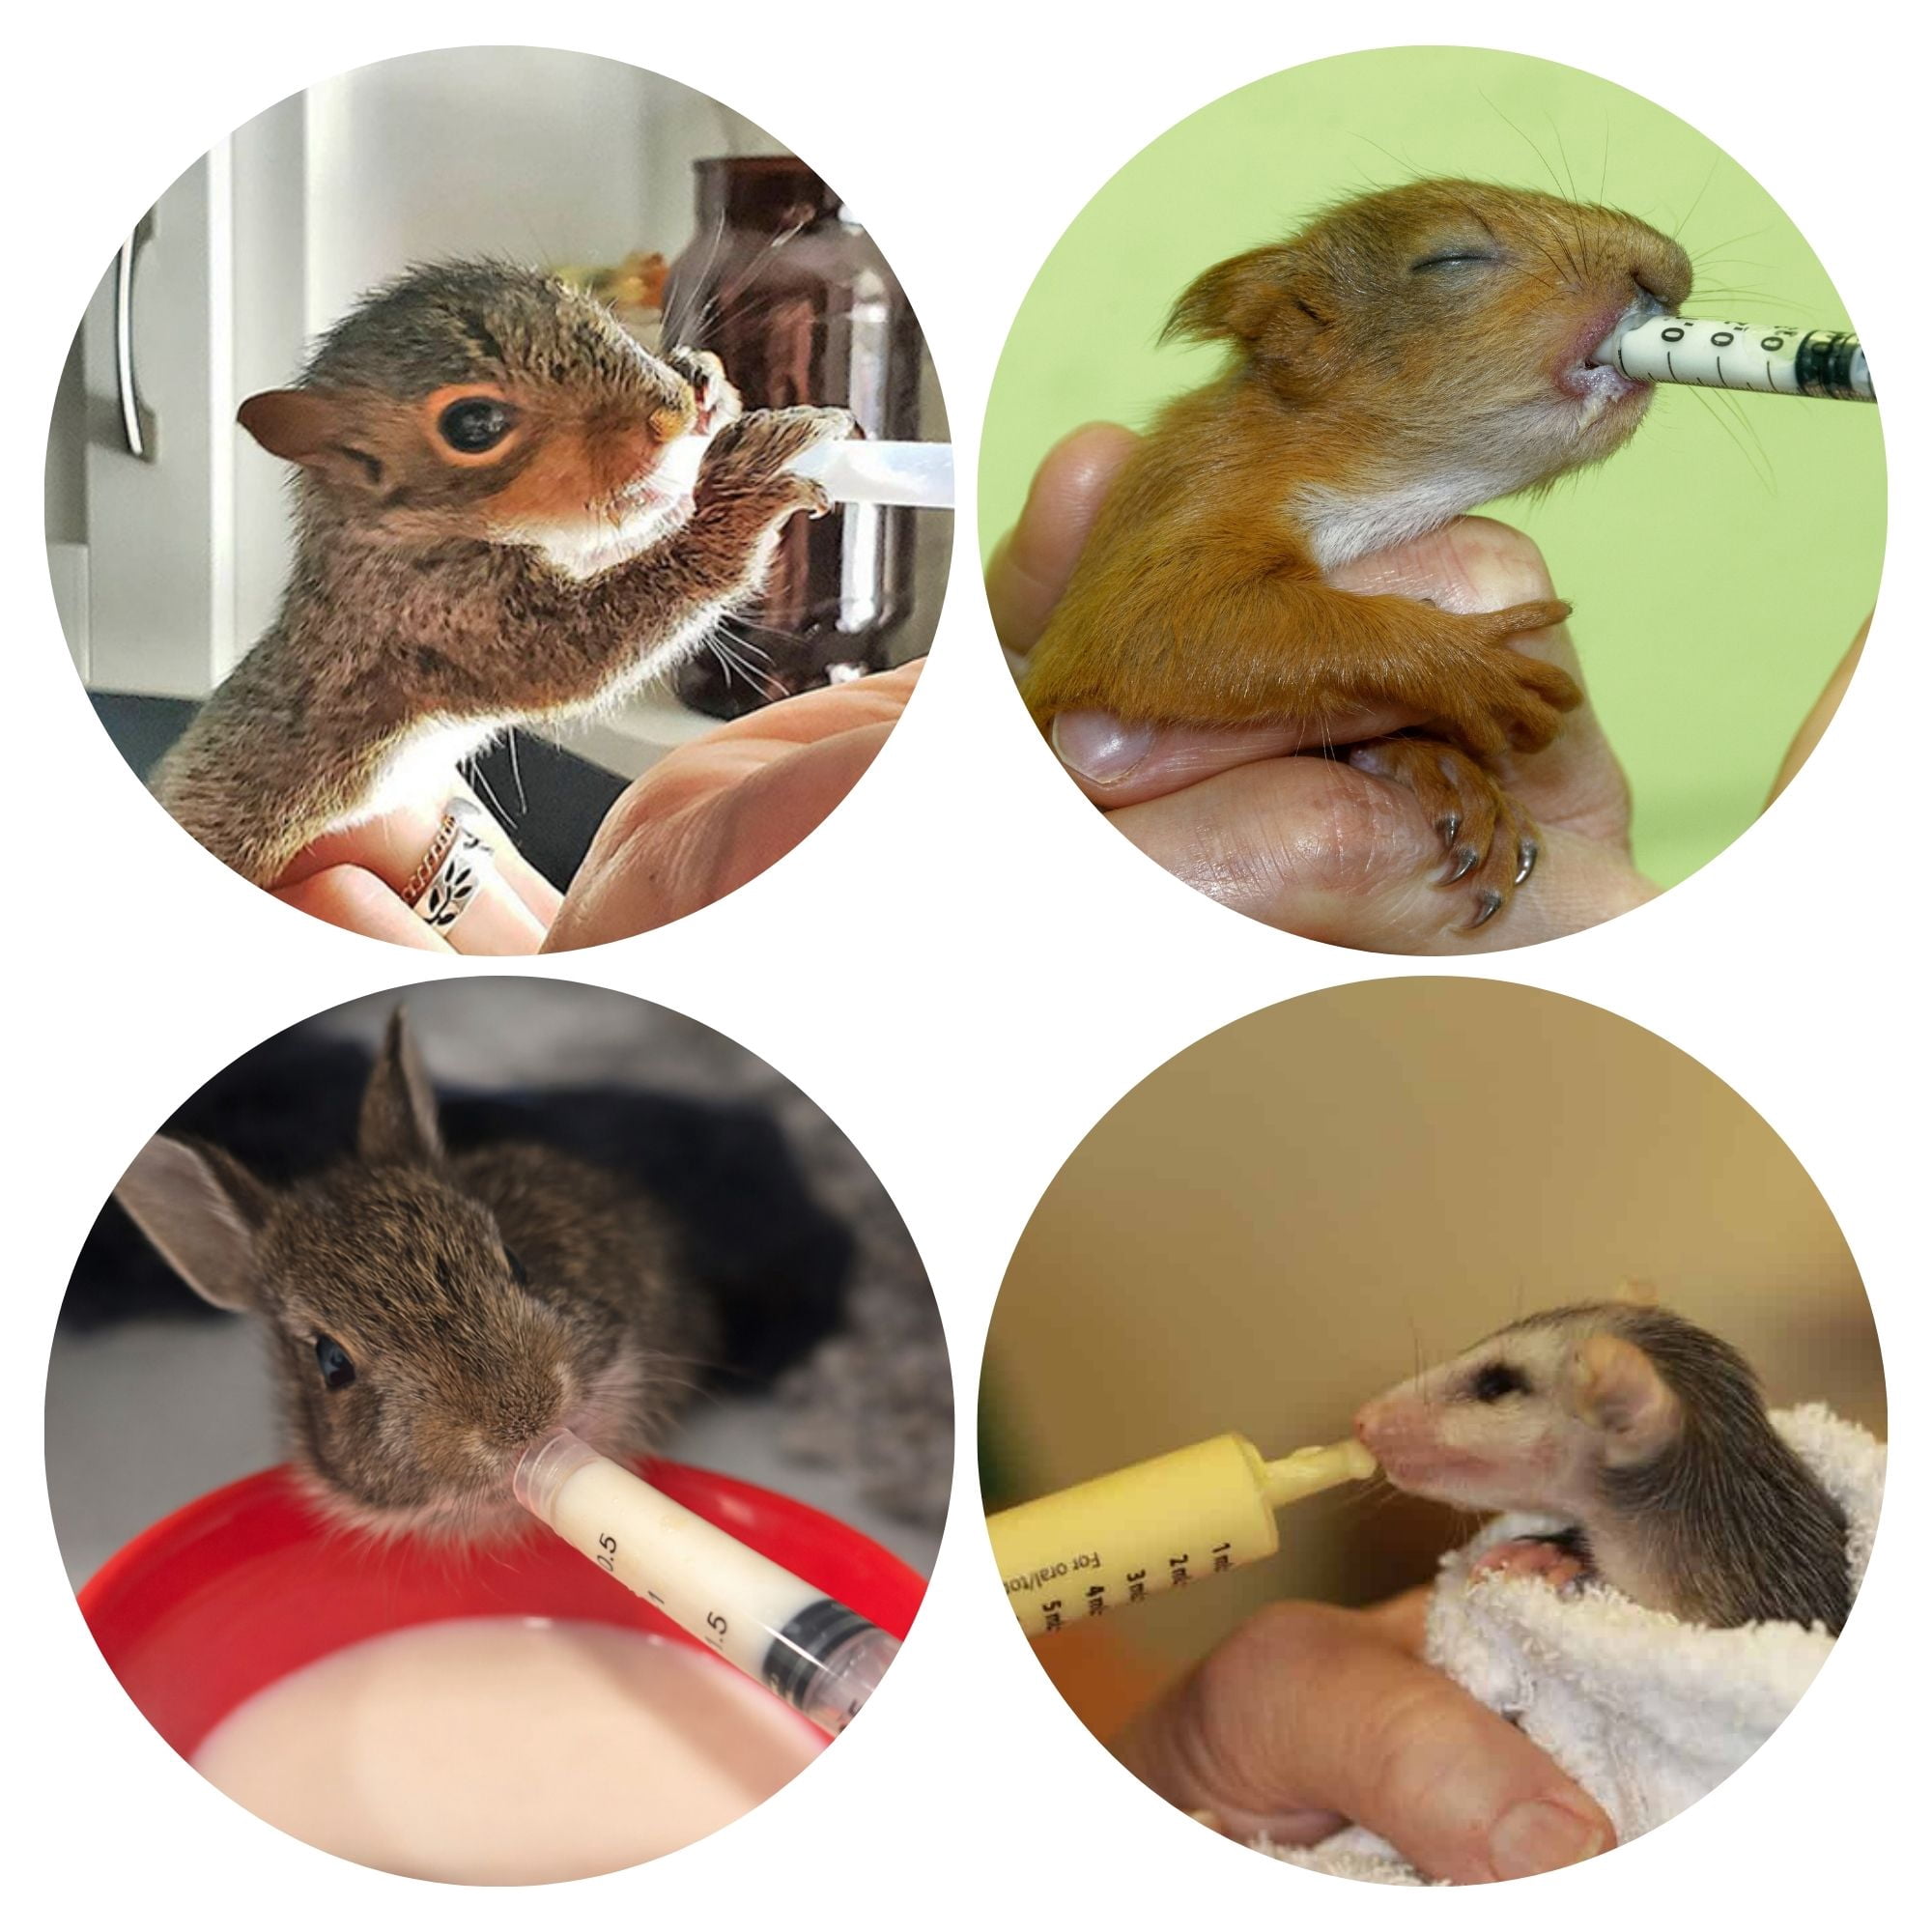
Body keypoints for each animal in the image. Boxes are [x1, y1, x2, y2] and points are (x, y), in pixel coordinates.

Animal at [151, 261, 853, 888]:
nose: (672, 414)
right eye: (473, 425)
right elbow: (571, 649)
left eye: (596, 313)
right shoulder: (434, 607)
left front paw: (707, 385)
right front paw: (747, 491)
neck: (384, 532)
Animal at [1021, 181, 1693, 926]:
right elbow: (1150, 629)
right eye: (1450, 259)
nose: (1671, 271)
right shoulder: (1198, 492)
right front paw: (1467, 664)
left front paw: (1445, 768)